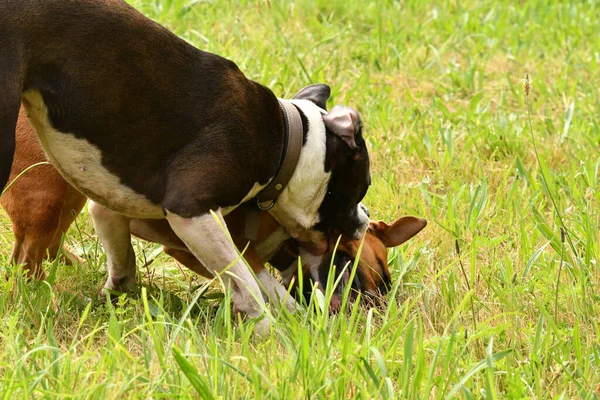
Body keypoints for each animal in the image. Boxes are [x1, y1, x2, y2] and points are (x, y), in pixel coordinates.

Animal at [0, 0, 370, 332]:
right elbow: (248, 281)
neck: (286, 138)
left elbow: (122, 259)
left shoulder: (108, 202)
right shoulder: (192, 214)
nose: (366, 218)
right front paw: (273, 332)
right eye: (363, 186)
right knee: (26, 257)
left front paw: (116, 295)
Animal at [1, 107, 426, 310]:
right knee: (27, 256)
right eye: (364, 273)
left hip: (68, 198)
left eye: (387, 283)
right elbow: (264, 284)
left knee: (47, 244)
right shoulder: (222, 239)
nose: (370, 316)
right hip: (46, 197)